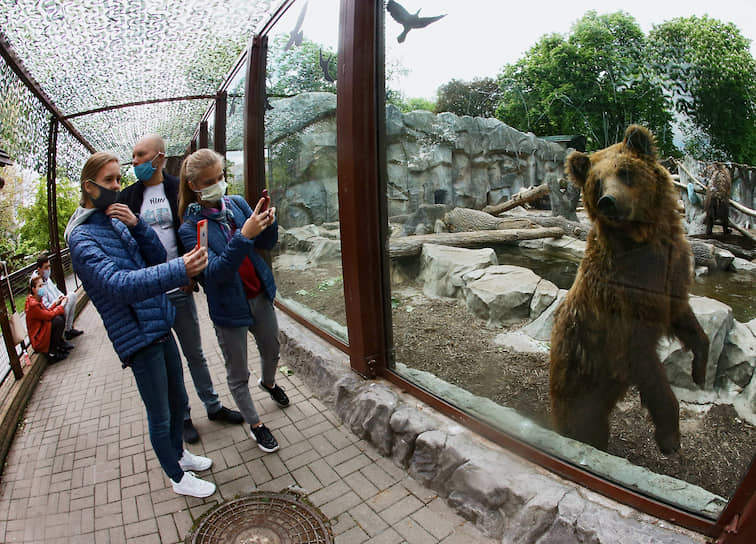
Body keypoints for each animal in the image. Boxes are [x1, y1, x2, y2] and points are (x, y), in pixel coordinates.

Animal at [548, 124, 708, 454]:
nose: (609, 200)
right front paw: (669, 437)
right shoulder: (621, 301)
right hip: (578, 378)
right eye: (597, 182)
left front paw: (699, 370)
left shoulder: (670, 275)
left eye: (625, 171)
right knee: (582, 423)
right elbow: (643, 360)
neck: (643, 241)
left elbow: (686, 320)